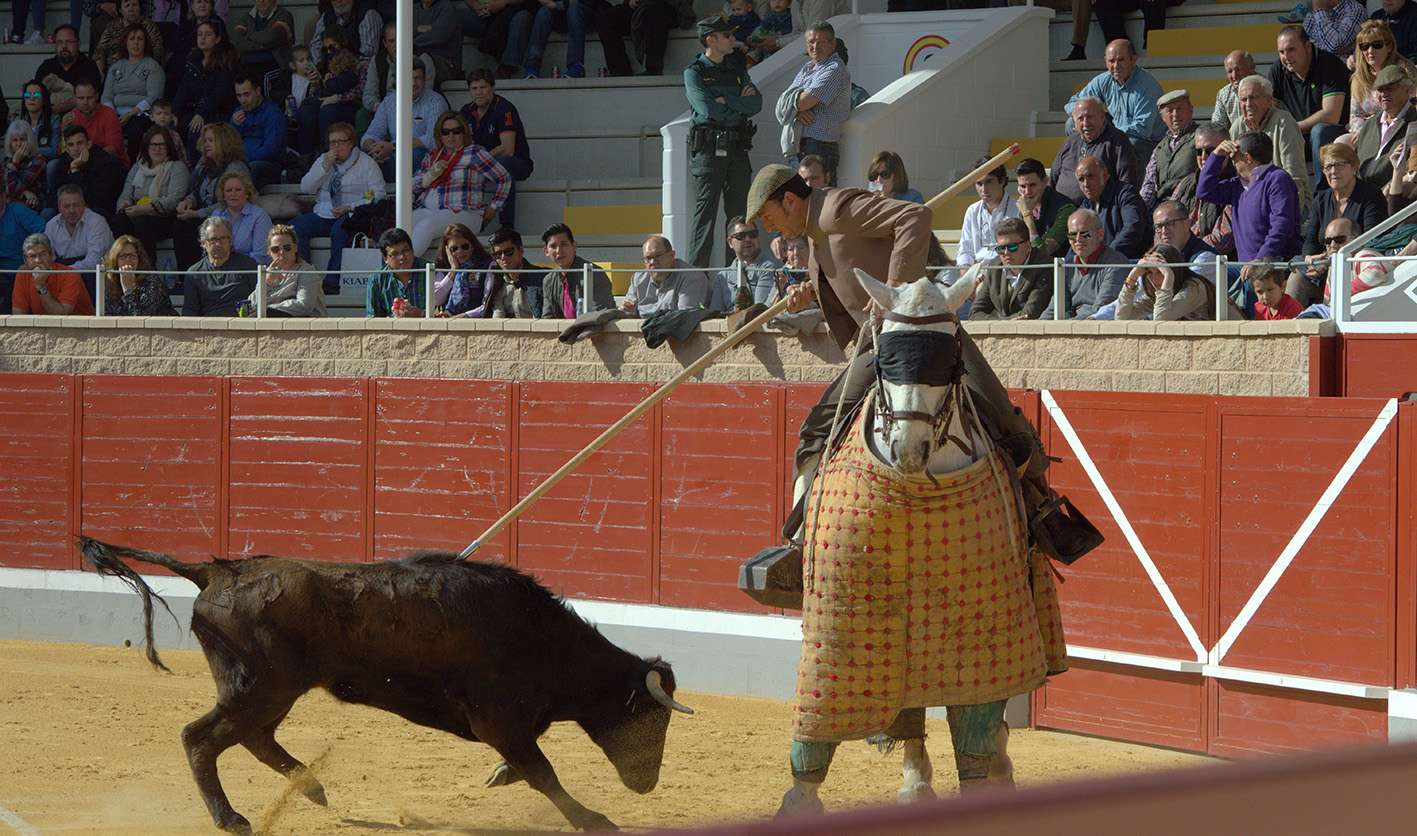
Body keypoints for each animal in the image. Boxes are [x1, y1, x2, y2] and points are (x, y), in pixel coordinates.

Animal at [80, 541, 694, 833]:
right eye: (652, 717)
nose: (646, 785)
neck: (537, 636)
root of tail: (217, 571)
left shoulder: (512, 723)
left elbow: (528, 766)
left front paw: (500, 777)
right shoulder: (496, 717)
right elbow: (543, 771)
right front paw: (596, 820)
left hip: (274, 689)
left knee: (253, 738)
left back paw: (312, 788)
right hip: (260, 686)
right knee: (201, 737)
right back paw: (233, 820)